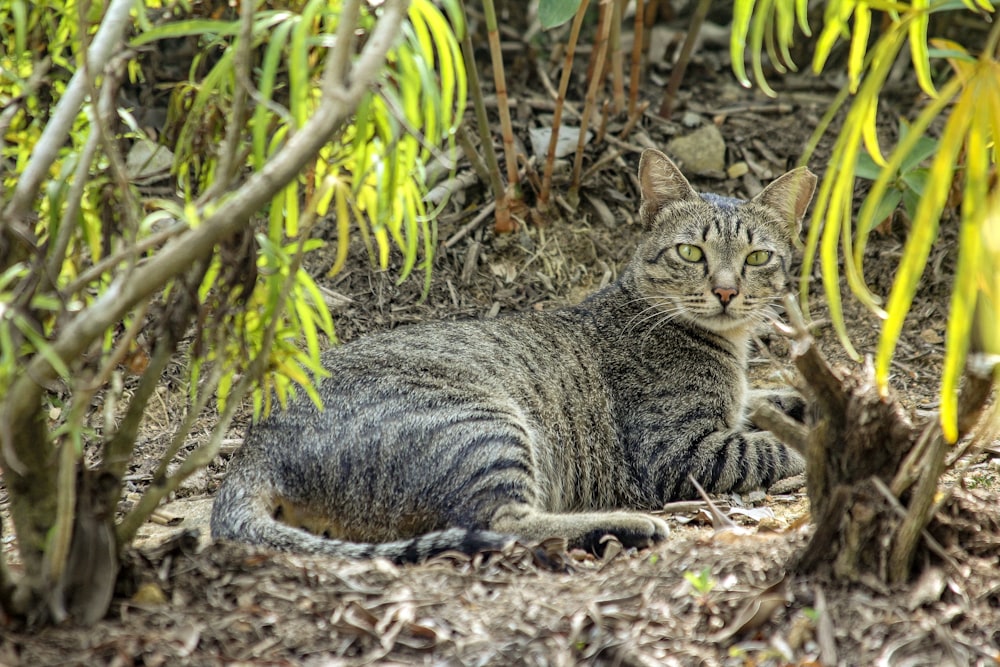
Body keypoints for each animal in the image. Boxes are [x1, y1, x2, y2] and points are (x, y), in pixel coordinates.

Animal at [209, 149, 812, 560]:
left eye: (757, 257)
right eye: (690, 252)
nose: (727, 291)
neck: (728, 347)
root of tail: (254, 447)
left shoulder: (738, 405)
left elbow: (774, 402)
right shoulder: (679, 452)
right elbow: (769, 449)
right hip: (484, 427)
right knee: (501, 524)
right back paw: (627, 525)